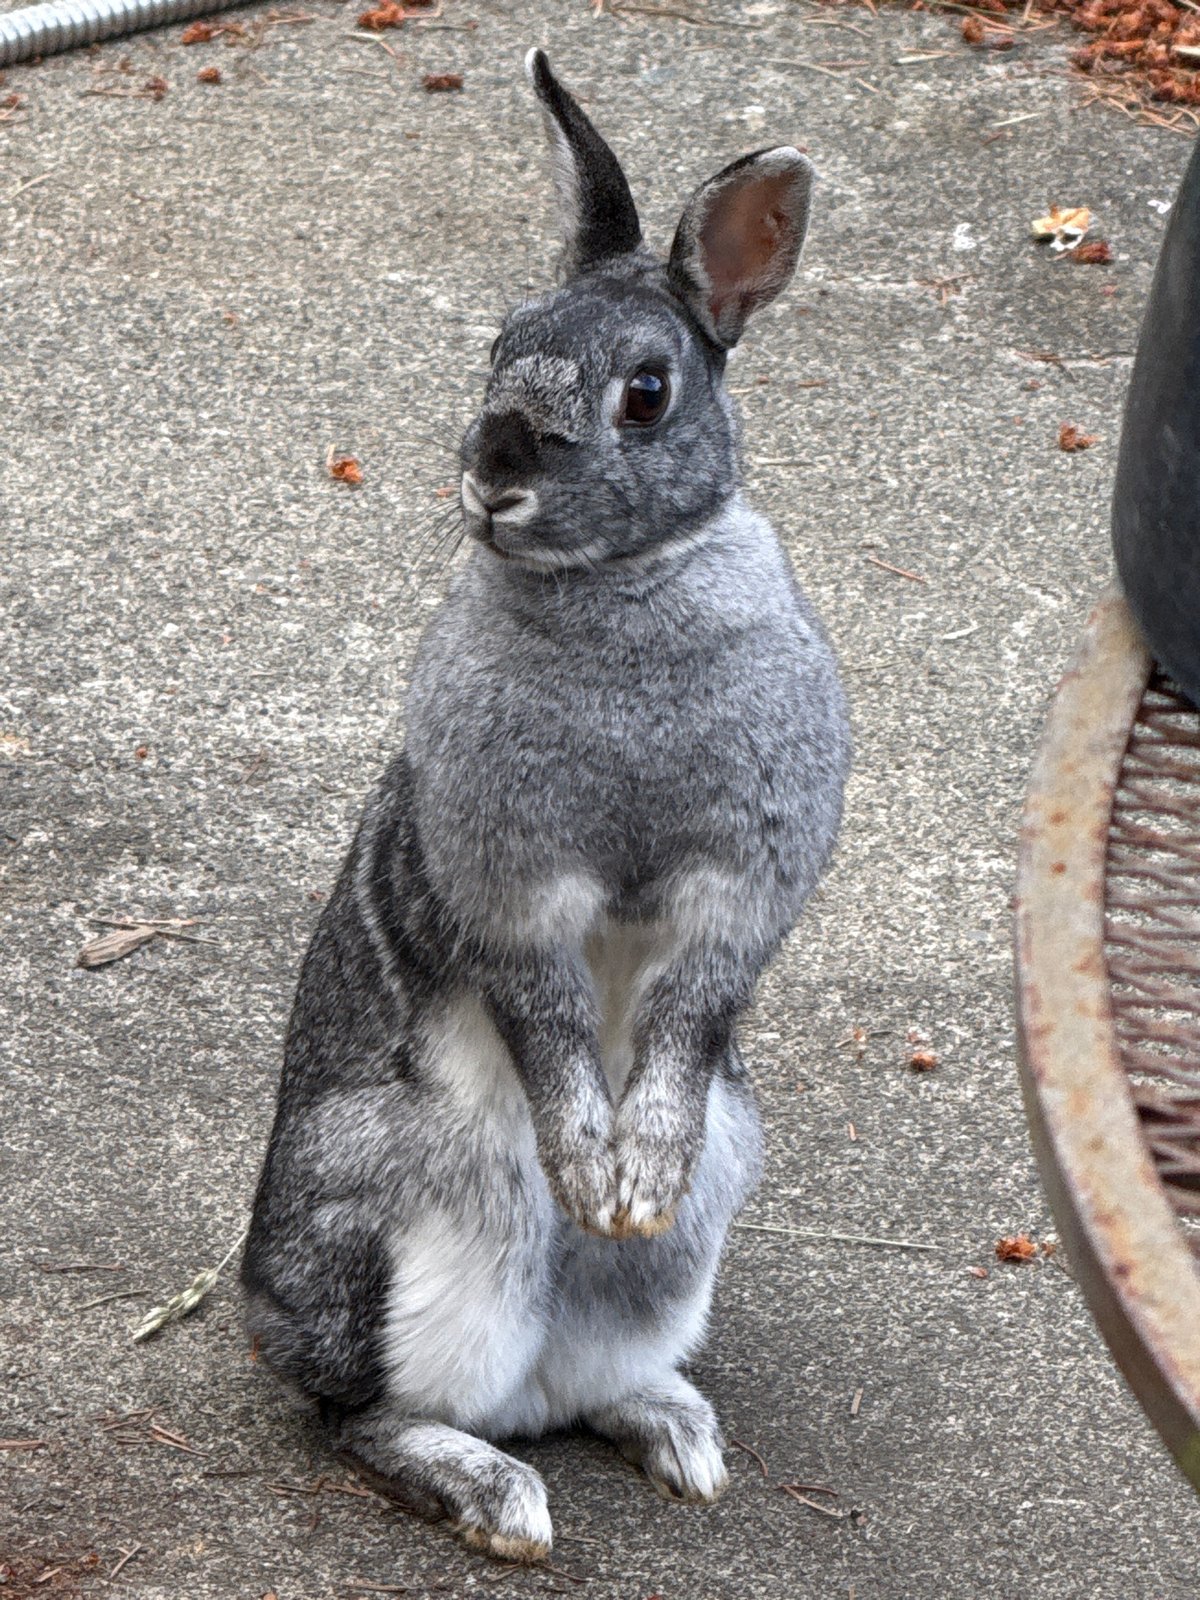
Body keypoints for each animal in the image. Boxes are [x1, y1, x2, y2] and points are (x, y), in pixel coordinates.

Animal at [241, 48, 850, 1565]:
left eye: (647, 391)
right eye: (500, 343)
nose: (494, 466)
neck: (619, 589)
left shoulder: (733, 901)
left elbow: (682, 1023)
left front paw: (632, 1190)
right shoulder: (510, 893)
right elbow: (553, 1021)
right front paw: (596, 1176)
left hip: (692, 1238)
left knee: (583, 1382)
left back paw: (677, 1438)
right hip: (405, 1219)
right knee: (361, 1416)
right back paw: (495, 1495)